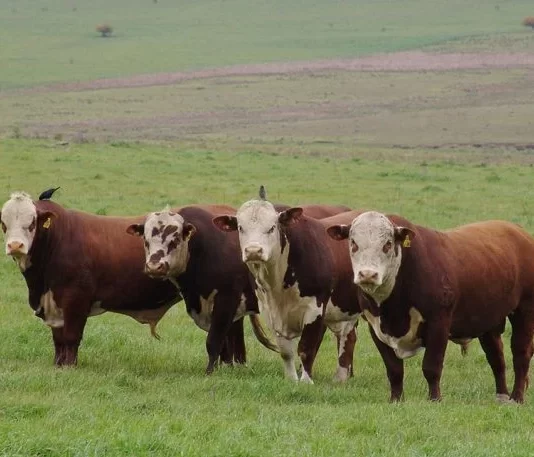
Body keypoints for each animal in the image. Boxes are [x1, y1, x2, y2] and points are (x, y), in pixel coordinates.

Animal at [0, 191, 184, 366]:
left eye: (32, 223)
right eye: (3, 224)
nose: (15, 245)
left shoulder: (76, 299)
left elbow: (71, 337)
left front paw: (69, 366)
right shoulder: (54, 303)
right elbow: (58, 339)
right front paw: (58, 365)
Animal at [126, 205, 279, 374]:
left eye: (175, 239)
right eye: (146, 240)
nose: (154, 266)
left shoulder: (226, 301)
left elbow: (213, 341)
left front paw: (209, 371)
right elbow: (223, 344)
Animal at [213, 188, 360, 383]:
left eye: (272, 227)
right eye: (240, 228)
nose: (253, 251)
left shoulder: (315, 309)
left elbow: (306, 349)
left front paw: (306, 382)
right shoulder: (271, 312)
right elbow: (286, 352)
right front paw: (291, 380)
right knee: (347, 337)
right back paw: (340, 378)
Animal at [327, 210, 534, 403]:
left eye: (387, 244)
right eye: (353, 243)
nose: (368, 274)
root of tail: (519, 231)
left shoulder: (438, 323)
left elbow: (431, 367)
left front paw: (435, 399)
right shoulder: (376, 327)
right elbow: (394, 370)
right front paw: (396, 399)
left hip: (524, 310)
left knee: (521, 353)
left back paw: (517, 398)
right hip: (488, 320)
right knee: (496, 357)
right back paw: (501, 397)